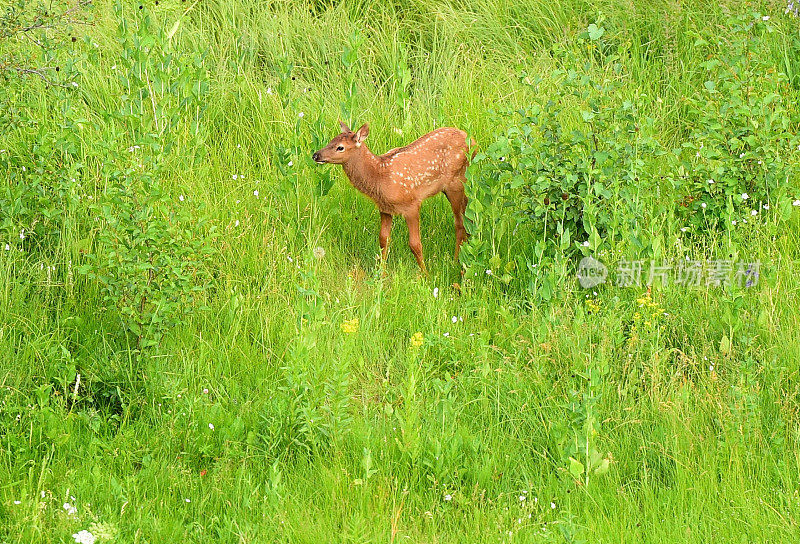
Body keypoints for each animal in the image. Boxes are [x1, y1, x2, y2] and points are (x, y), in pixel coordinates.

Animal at [312, 121, 476, 274]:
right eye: (331, 140)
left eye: (340, 147)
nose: (315, 155)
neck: (380, 178)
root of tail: (472, 140)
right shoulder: (385, 209)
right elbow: (383, 239)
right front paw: (381, 274)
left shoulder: (412, 205)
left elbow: (415, 244)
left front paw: (425, 275)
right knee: (467, 210)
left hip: (455, 182)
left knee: (459, 222)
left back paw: (456, 260)